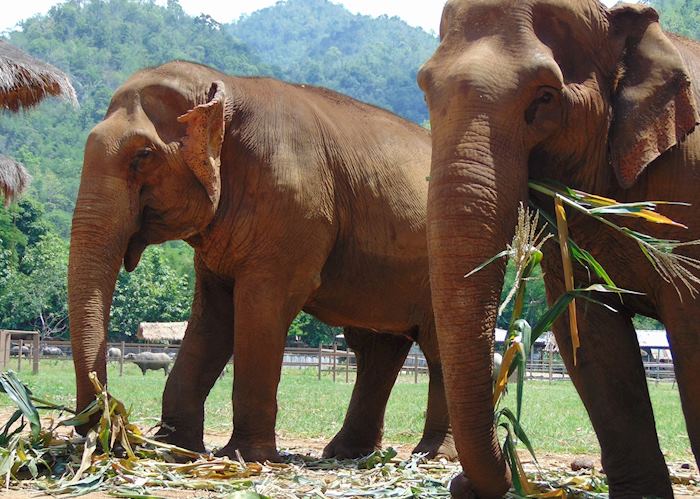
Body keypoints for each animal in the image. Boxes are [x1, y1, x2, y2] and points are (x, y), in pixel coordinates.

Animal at [68, 60, 455, 463]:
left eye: (142, 155)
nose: (109, 425)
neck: (231, 89)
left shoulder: (293, 208)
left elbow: (260, 308)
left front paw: (246, 455)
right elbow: (212, 318)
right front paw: (177, 448)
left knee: (435, 346)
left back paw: (432, 454)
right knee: (376, 350)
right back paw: (346, 453)